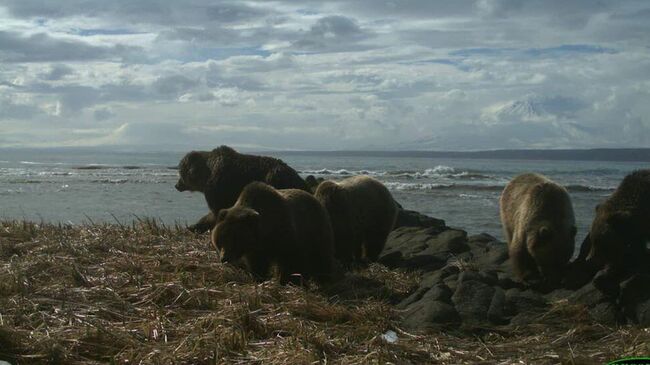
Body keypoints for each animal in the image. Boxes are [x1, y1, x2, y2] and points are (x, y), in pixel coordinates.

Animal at [173, 144, 308, 232]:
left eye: (181, 172)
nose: (177, 185)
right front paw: (194, 226)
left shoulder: (218, 189)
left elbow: (217, 211)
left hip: (275, 181)